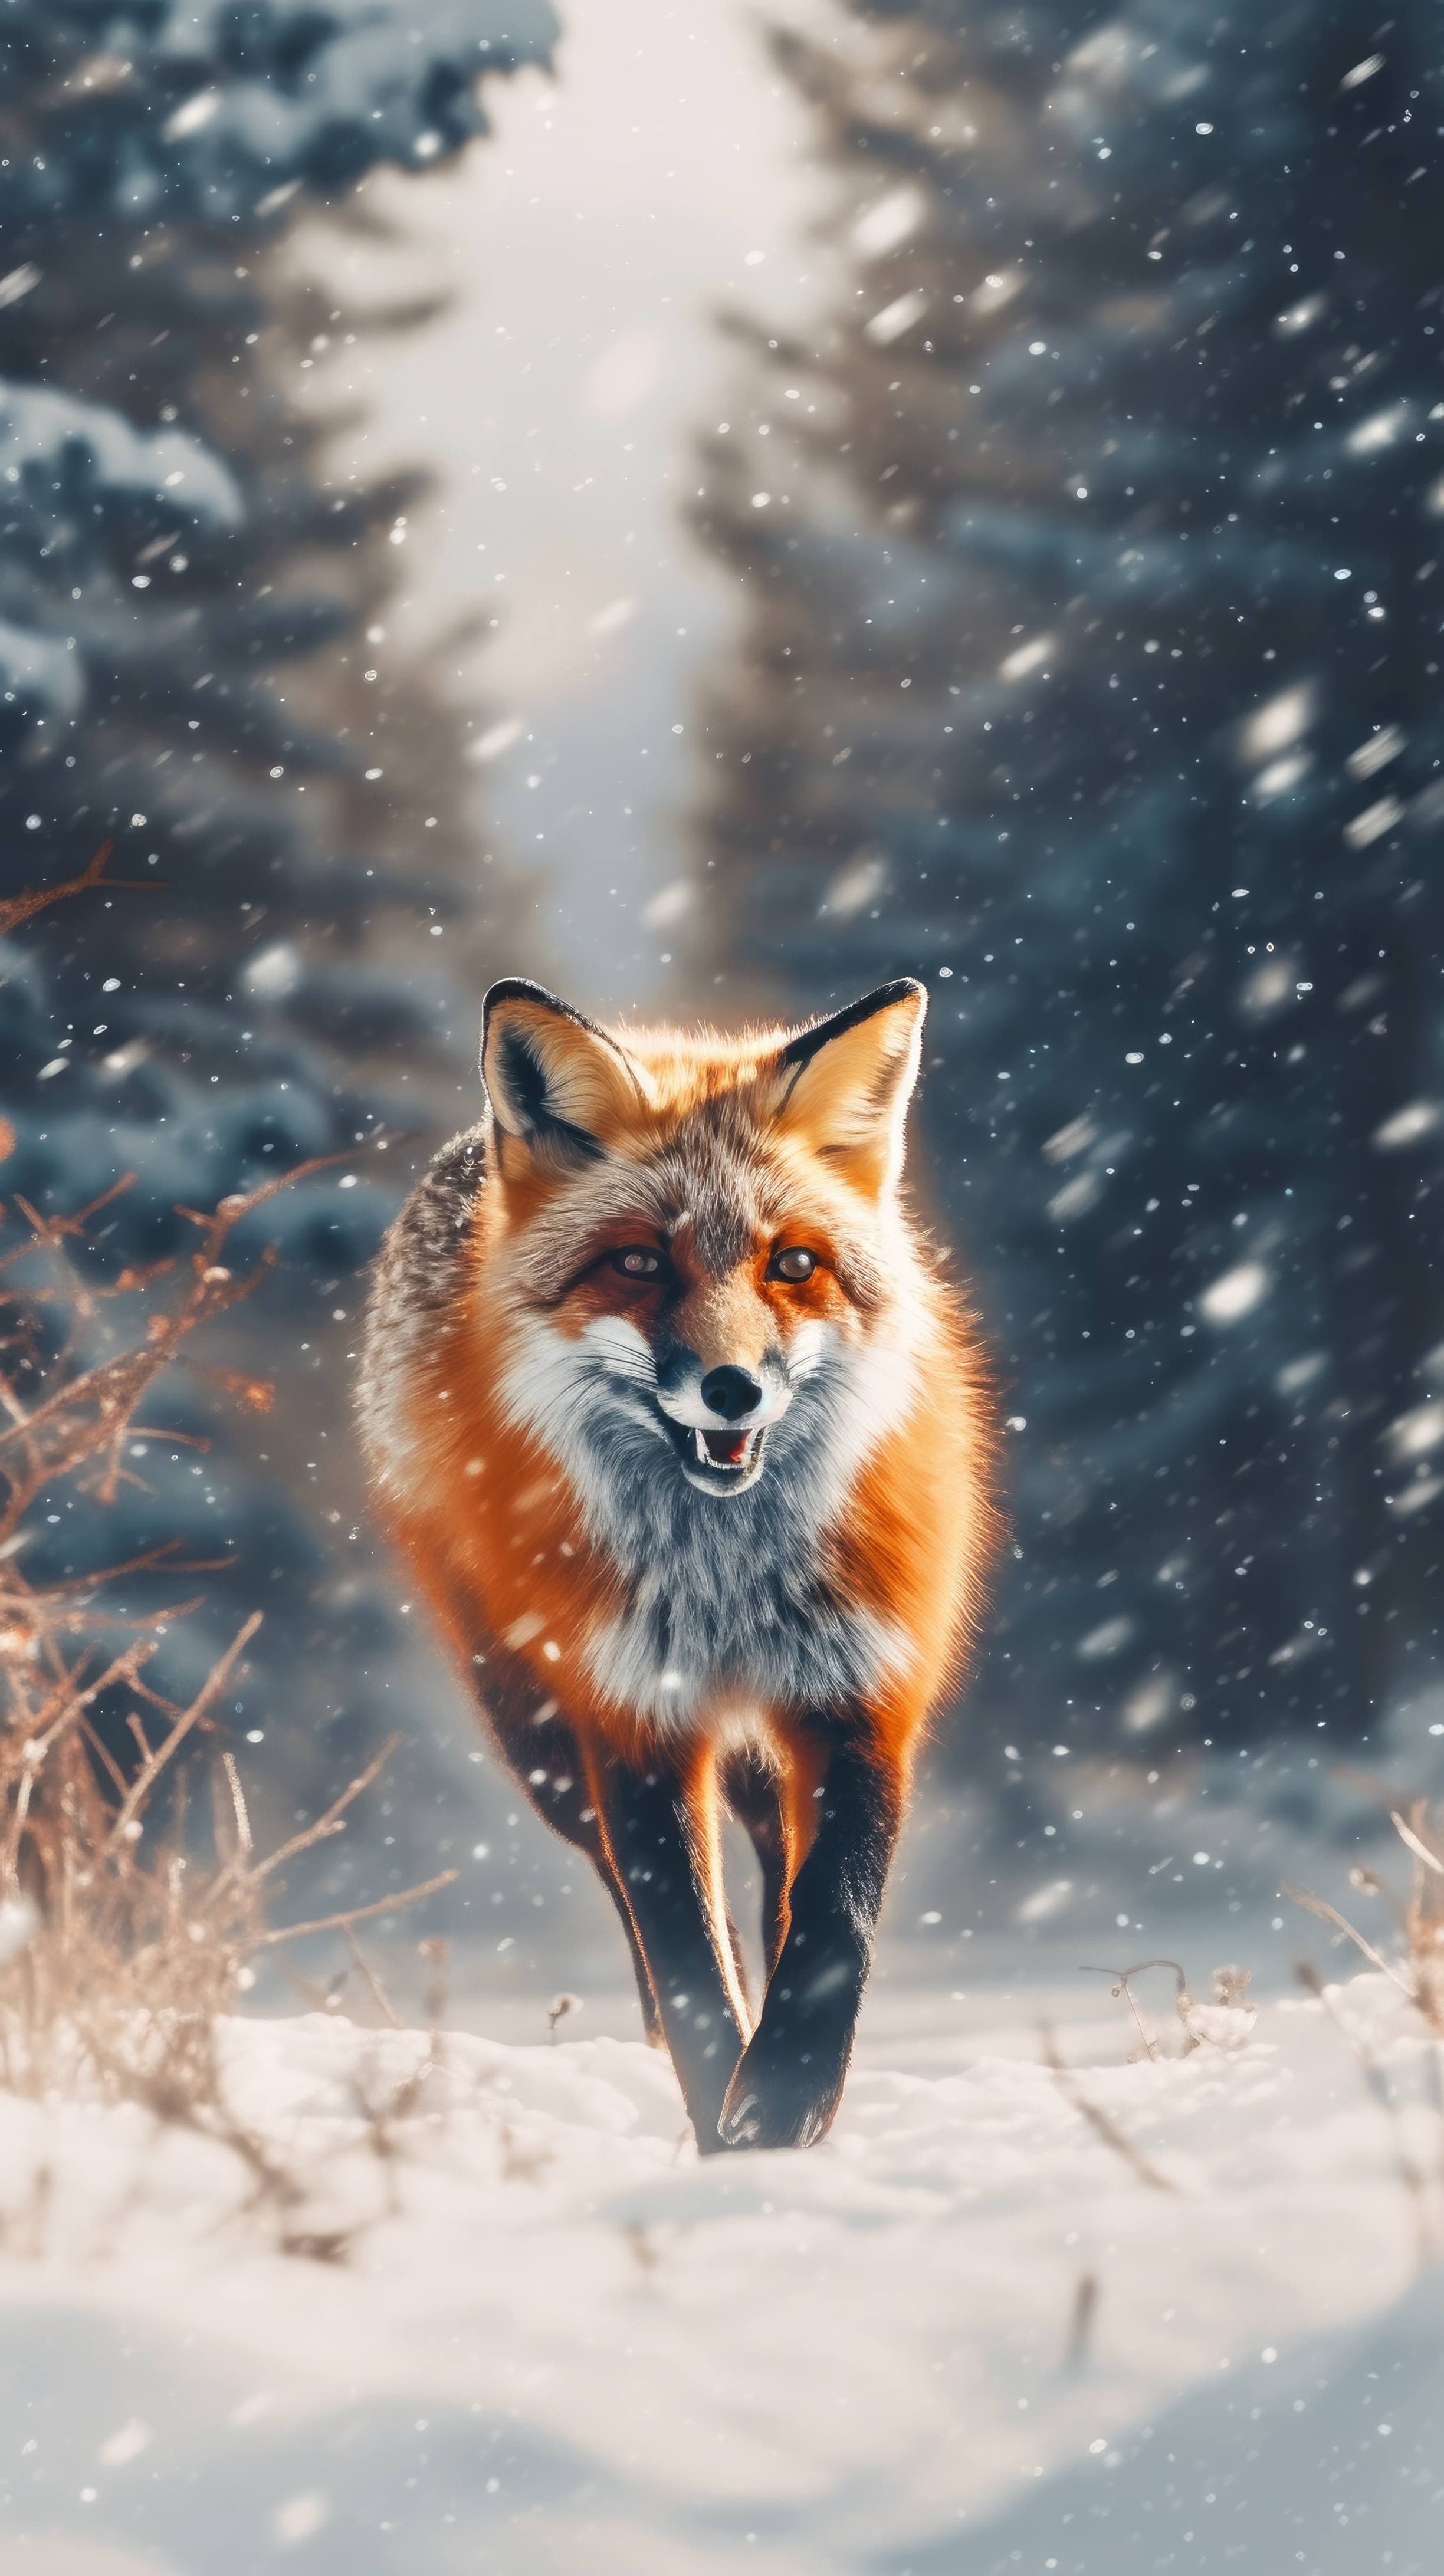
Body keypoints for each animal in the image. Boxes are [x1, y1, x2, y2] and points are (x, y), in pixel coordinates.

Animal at [357, 974, 998, 2152]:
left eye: (793, 1264)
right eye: (640, 1262)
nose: (732, 1389)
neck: (724, 1584)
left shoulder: (862, 1692)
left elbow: (834, 1914)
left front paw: (788, 2098)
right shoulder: (631, 1720)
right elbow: (687, 1953)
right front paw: (726, 2119)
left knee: (777, 1871)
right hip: (533, 1733)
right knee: (635, 1890)